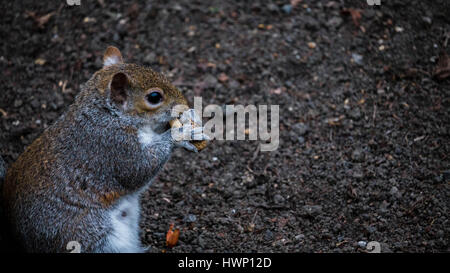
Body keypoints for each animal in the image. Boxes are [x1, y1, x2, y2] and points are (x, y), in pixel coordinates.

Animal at [1, 45, 209, 252]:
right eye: (154, 97)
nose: (184, 105)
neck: (110, 116)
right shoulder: (113, 146)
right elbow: (139, 169)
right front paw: (181, 133)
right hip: (92, 236)